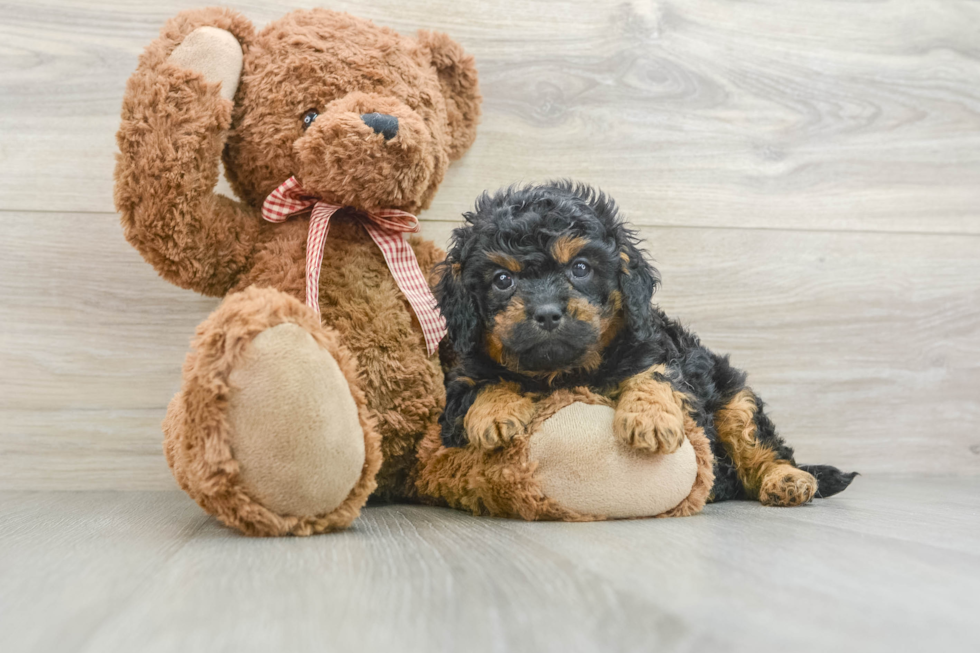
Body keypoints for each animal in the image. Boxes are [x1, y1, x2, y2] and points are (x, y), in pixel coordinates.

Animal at [436, 181, 856, 506]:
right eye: (502, 280)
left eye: (581, 268)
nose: (547, 313)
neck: (564, 371)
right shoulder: (458, 384)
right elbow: (480, 384)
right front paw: (495, 415)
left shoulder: (659, 353)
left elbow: (653, 375)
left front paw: (649, 419)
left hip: (734, 399)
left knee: (760, 445)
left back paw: (786, 479)